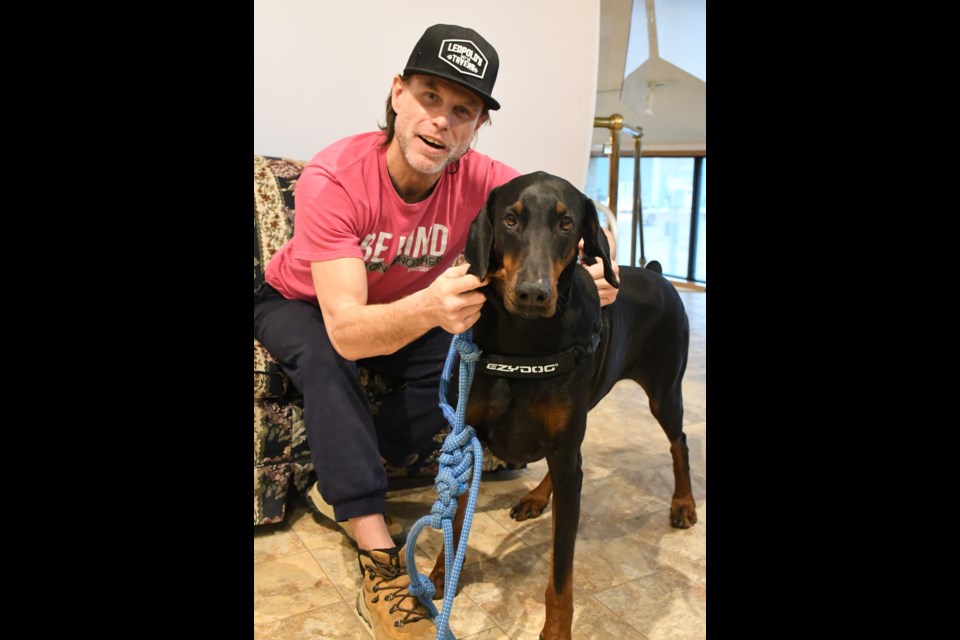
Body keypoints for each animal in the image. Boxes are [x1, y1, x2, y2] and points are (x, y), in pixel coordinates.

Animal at [432, 172, 692, 640]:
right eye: (510, 219)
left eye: (566, 223)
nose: (532, 294)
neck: (522, 341)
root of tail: (657, 275)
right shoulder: (467, 438)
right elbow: (456, 520)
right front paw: (443, 576)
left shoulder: (567, 455)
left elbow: (560, 572)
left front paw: (555, 630)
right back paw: (536, 497)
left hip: (664, 392)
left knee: (678, 442)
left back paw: (683, 503)